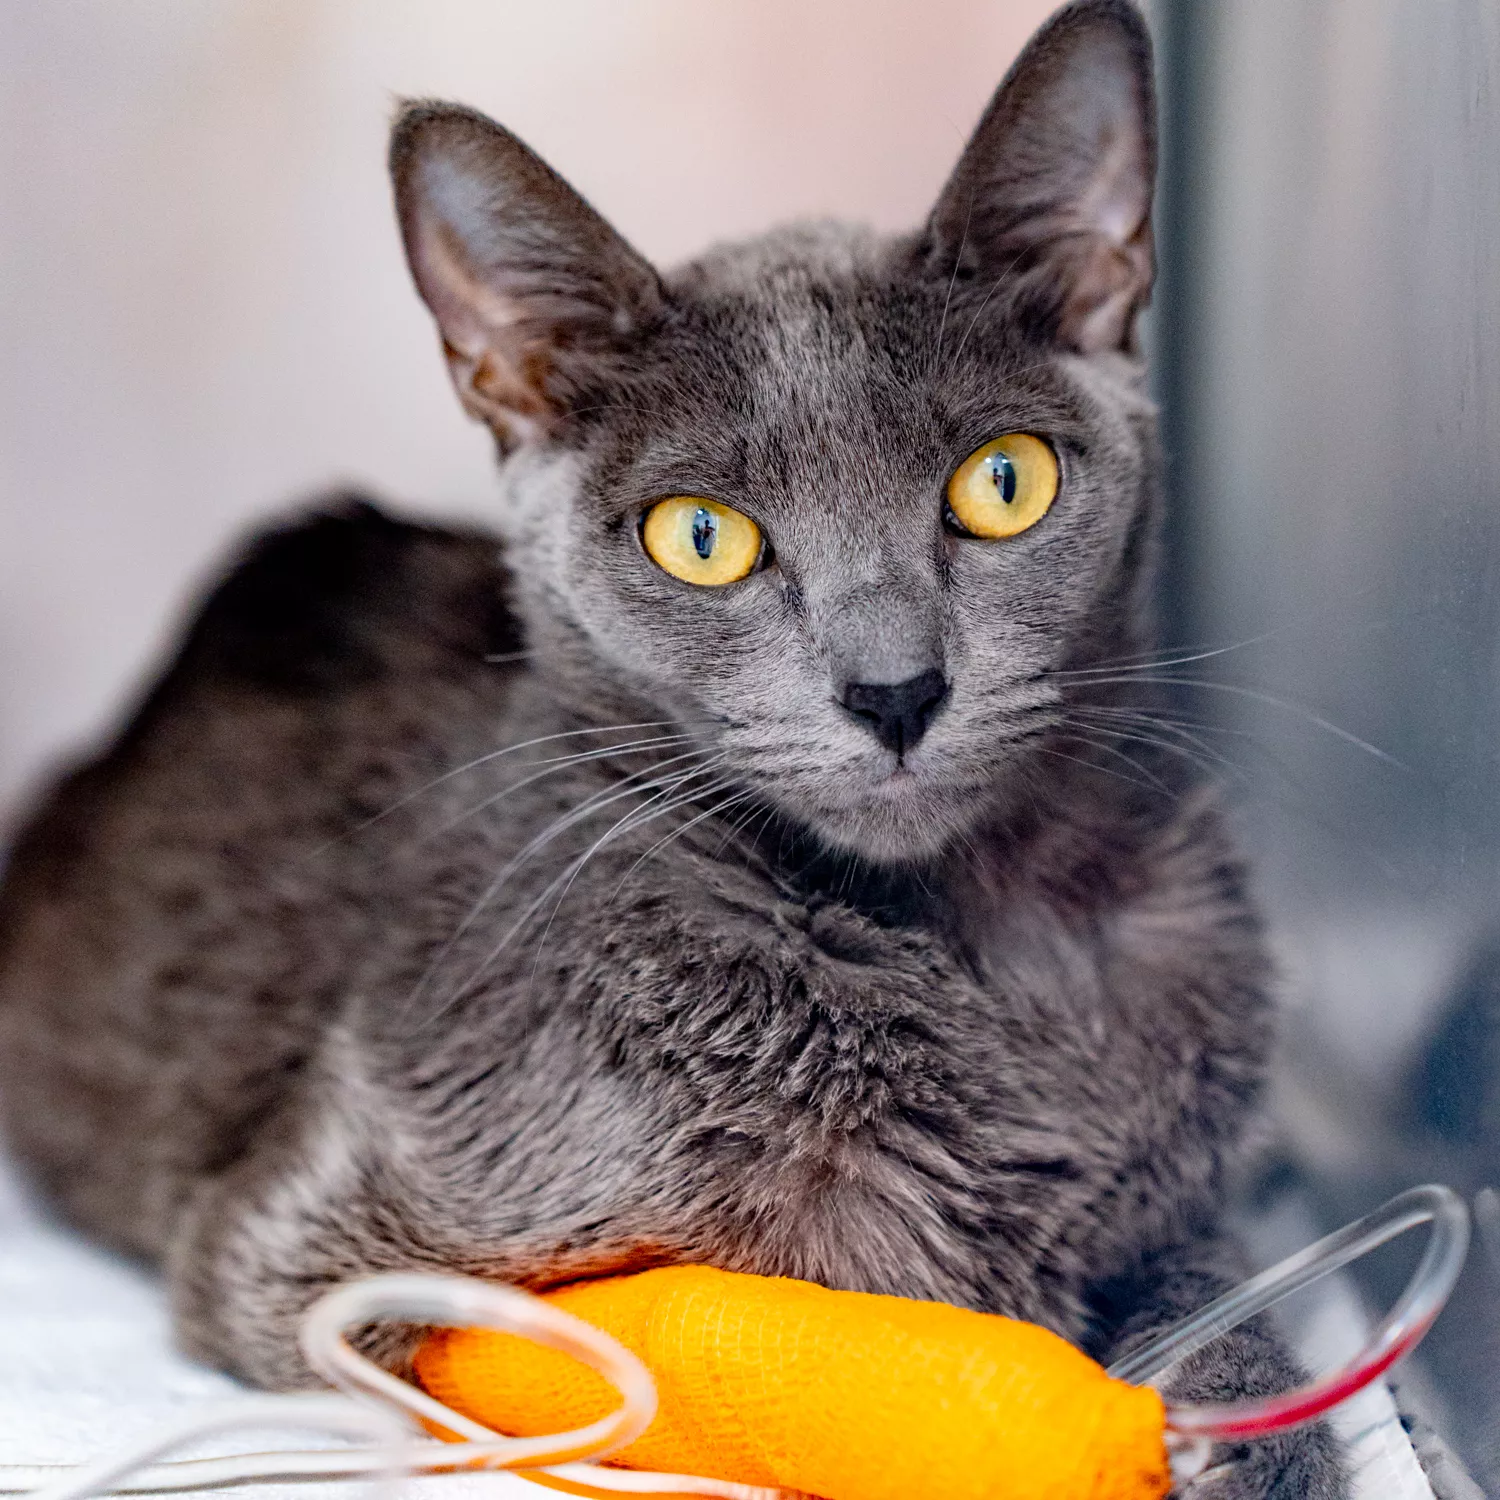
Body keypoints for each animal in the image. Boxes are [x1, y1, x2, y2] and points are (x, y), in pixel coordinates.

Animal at [0, 2, 1350, 1500]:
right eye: (701, 538)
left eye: (1006, 482)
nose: (895, 690)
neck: (971, 950)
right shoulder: (315, 1249)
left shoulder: (1183, 1199)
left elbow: (1219, 1278)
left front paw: (1243, 1422)